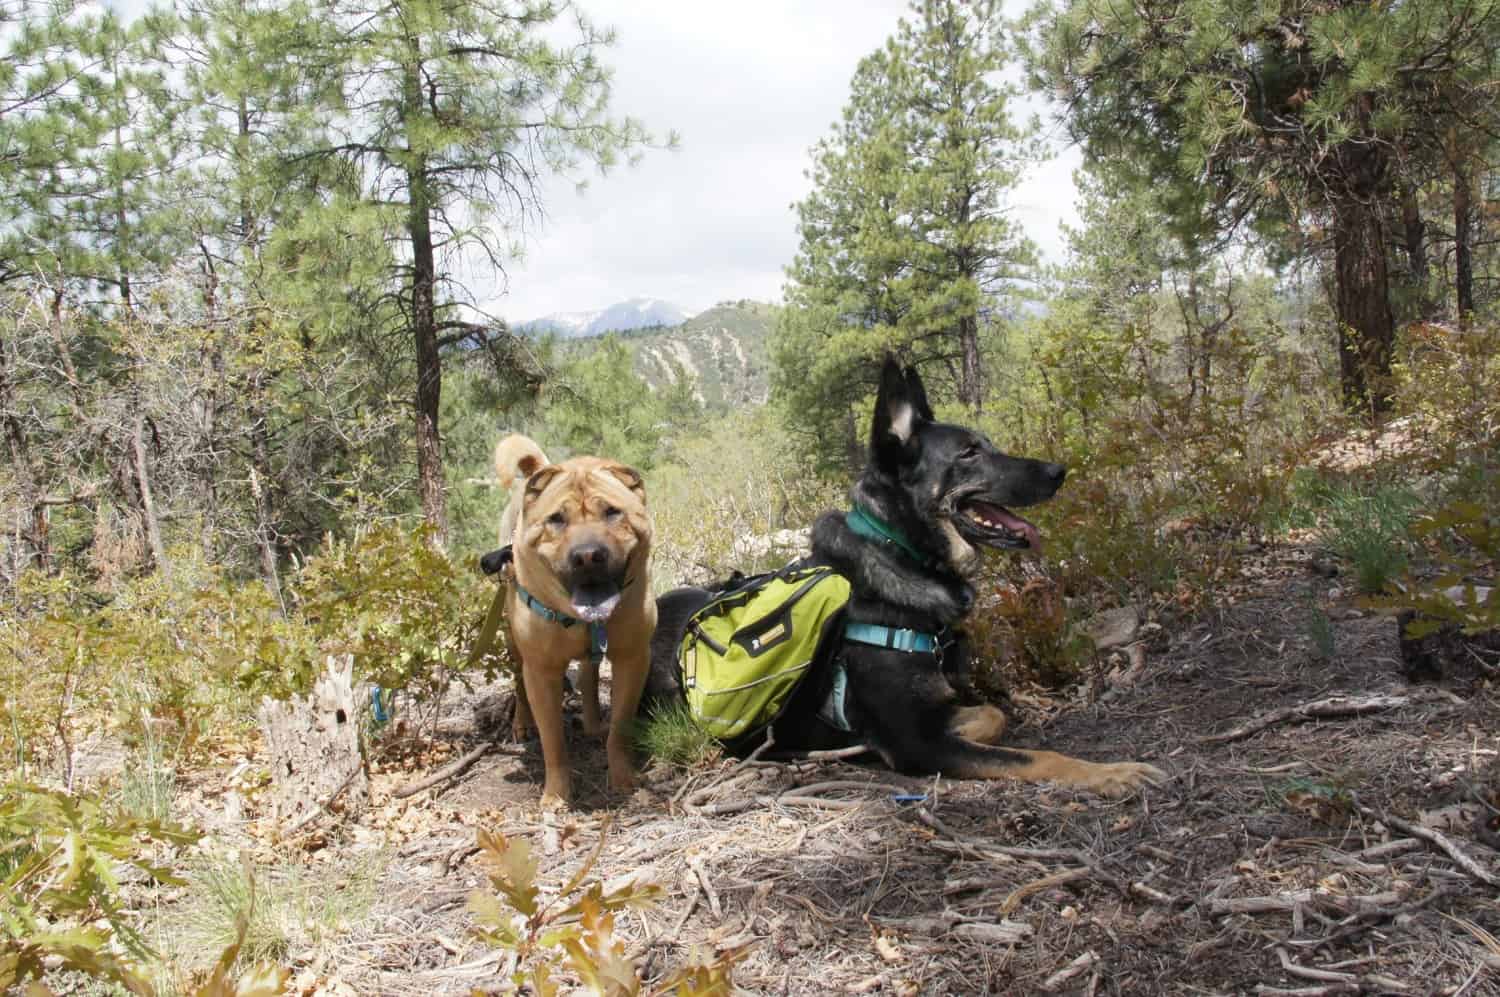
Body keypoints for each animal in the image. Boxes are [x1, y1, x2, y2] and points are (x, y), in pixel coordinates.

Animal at [495, 431, 654, 803]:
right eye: (556, 519)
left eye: (612, 512)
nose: (587, 556)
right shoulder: (541, 672)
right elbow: (553, 740)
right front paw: (556, 795)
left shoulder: (632, 659)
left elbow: (620, 728)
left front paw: (622, 777)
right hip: (513, 643)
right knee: (519, 684)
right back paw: (522, 724)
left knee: (589, 675)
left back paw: (593, 722)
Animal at [651, 355, 1164, 791]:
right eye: (969, 453)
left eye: (988, 445)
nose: (1059, 471)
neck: (901, 553)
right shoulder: (916, 744)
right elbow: (1034, 756)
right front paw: (1113, 772)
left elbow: (991, 713)